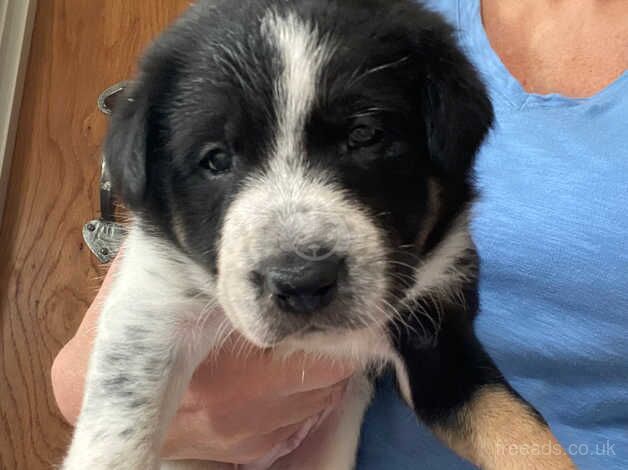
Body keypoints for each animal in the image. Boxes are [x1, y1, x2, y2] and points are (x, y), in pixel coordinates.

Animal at [62, 0, 576, 470]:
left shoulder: (437, 329)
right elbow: (119, 424)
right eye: (216, 159)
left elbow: (515, 427)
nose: (303, 281)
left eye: (365, 135)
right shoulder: (152, 303)